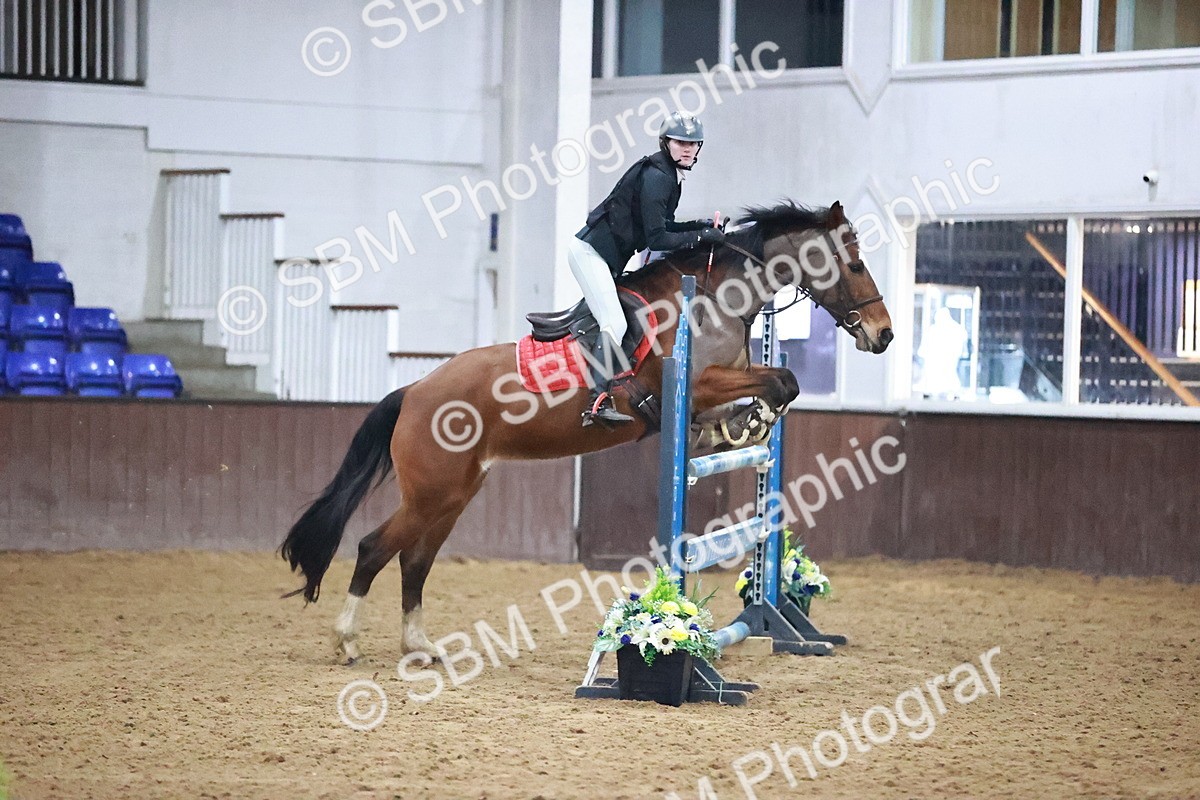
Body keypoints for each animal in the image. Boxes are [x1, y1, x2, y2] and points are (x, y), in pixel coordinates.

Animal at [281, 200, 893, 663]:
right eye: (855, 264)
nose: (883, 335)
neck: (716, 301)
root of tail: (413, 391)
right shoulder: (696, 383)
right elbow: (782, 379)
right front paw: (756, 419)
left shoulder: (713, 391)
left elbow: (765, 392)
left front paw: (742, 427)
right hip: (433, 492)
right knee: (372, 548)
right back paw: (348, 641)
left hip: (453, 493)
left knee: (414, 560)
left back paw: (419, 646)